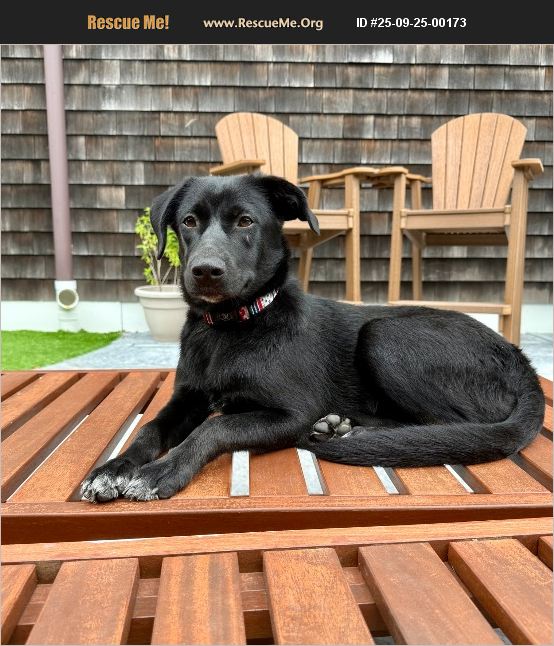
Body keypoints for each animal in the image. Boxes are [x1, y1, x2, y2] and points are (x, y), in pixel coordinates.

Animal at [81, 174, 545, 502]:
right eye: (189, 221)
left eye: (246, 221)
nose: (205, 271)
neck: (232, 327)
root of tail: (521, 360)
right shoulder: (187, 398)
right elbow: (150, 429)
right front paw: (113, 469)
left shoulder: (291, 414)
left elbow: (215, 428)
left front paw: (159, 472)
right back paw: (343, 427)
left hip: (386, 334)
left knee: (452, 427)